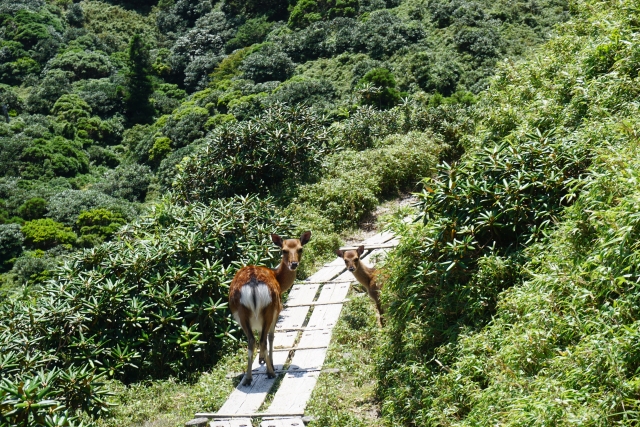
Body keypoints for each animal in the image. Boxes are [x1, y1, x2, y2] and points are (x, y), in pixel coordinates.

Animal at [229, 232, 312, 386]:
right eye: (284, 250)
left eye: (300, 249)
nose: (294, 264)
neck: (277, 277)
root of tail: (253, 284)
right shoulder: (278, 310)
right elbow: (271, 336)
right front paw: (271, 364)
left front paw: (261, 359)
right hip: (270, 308)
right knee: (264, 339)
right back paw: (270, 372)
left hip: (240, 313)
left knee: (251, 340)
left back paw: (248, 378)